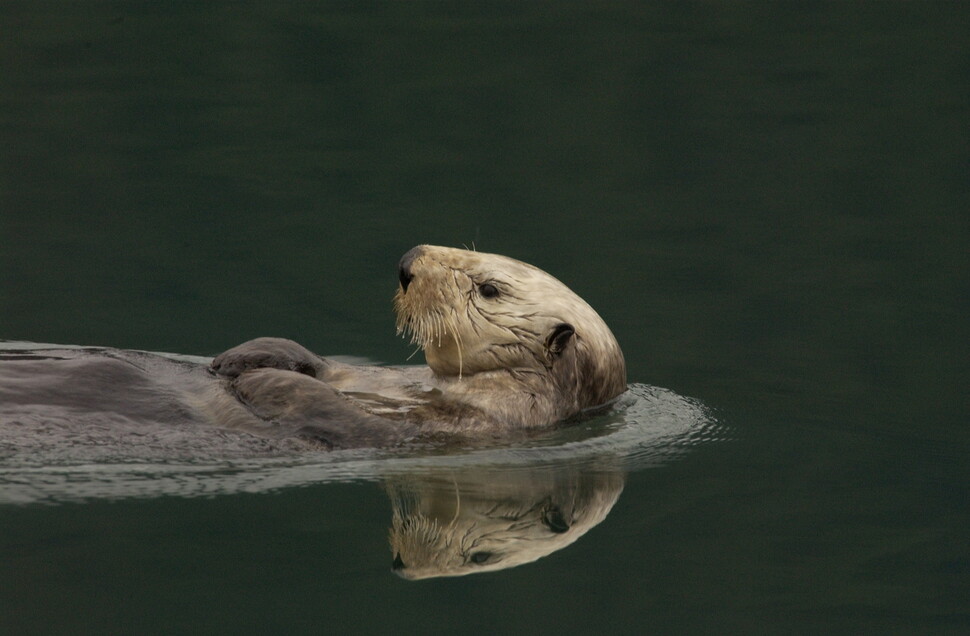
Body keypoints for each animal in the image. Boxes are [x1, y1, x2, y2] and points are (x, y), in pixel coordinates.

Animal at [0, 245, 628, 452]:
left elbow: (337, 414)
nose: (408, 262)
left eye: (490, 288)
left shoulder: (455, 431)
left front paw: (260, 379)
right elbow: (321, 368)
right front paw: (247, 356)